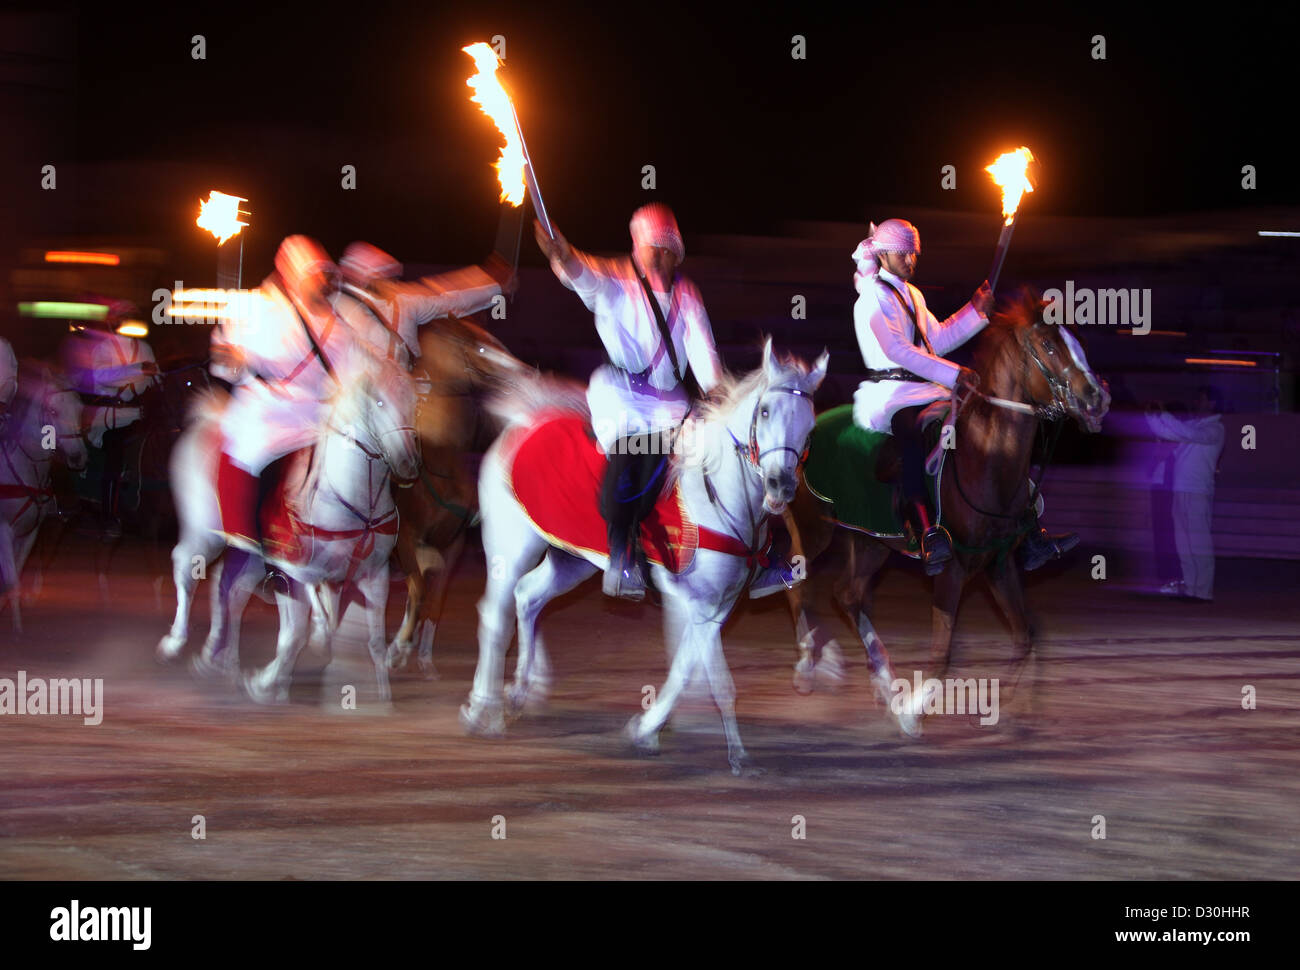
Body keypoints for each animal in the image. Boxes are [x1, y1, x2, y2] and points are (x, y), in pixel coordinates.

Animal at [0, 361, 87, 626]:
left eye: (80, 409)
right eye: (53, 411)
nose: (78, 458)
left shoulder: (30, 532)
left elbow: (16, 574)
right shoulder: (3, 529)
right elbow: (11, 580)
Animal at [157, 351, 418, 696]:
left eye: (415, 399)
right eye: (378, 402)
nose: (409, 465)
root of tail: (207, 421)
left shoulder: (374, 575)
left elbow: (373, 640)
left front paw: (381, 691)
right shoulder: (290, 568)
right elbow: (296, 631)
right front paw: (269, 680)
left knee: (229, 590)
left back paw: (219, 657)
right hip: (204, 534)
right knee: (188, 569)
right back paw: (176, 641)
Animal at [384, 315, 527, 670]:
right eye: (480, 346)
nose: (522, 370)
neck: (439, 459)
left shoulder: (453, 545)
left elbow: (433, 598)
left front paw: (421, 653)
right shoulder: (405, 537)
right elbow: (419, 590)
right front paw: (398, 648)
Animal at [460, 338, 821, 769]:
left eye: (809, 425)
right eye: (764, 411)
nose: (781, 485)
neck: (716, 493)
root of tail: (525, 423)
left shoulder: (717, 605)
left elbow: (687, 666)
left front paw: (653, 729)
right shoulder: (694, 601)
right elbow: (705, 674)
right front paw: (711, 744)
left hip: (572, 559)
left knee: (528, 596)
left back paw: (521, 690)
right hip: (510, 546)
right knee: (494, 617)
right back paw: (484, 709)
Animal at [780, 288, 1107, 733]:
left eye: (1077, 340)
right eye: (1049, 345)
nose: (1097, 397)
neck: (984, 458)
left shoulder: (998, 564)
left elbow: (1025, 638)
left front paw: (1009, 707)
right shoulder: (951, 570)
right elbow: (942, 654)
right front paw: (909, 714)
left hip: (871, 541)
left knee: (848, 594)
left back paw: (883, 682)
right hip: (814, 530)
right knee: (796, 582)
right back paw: (809, 668)